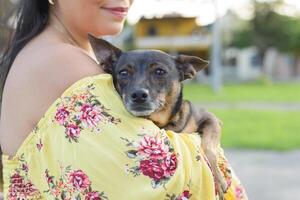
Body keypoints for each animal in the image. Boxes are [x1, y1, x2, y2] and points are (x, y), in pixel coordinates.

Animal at [88, 35, 227, 198]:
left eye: (160, 71)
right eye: (123, 73)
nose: (138, 95)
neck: (162, 122)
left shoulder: (211, 119)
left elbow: (208, 147)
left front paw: (218, 178)